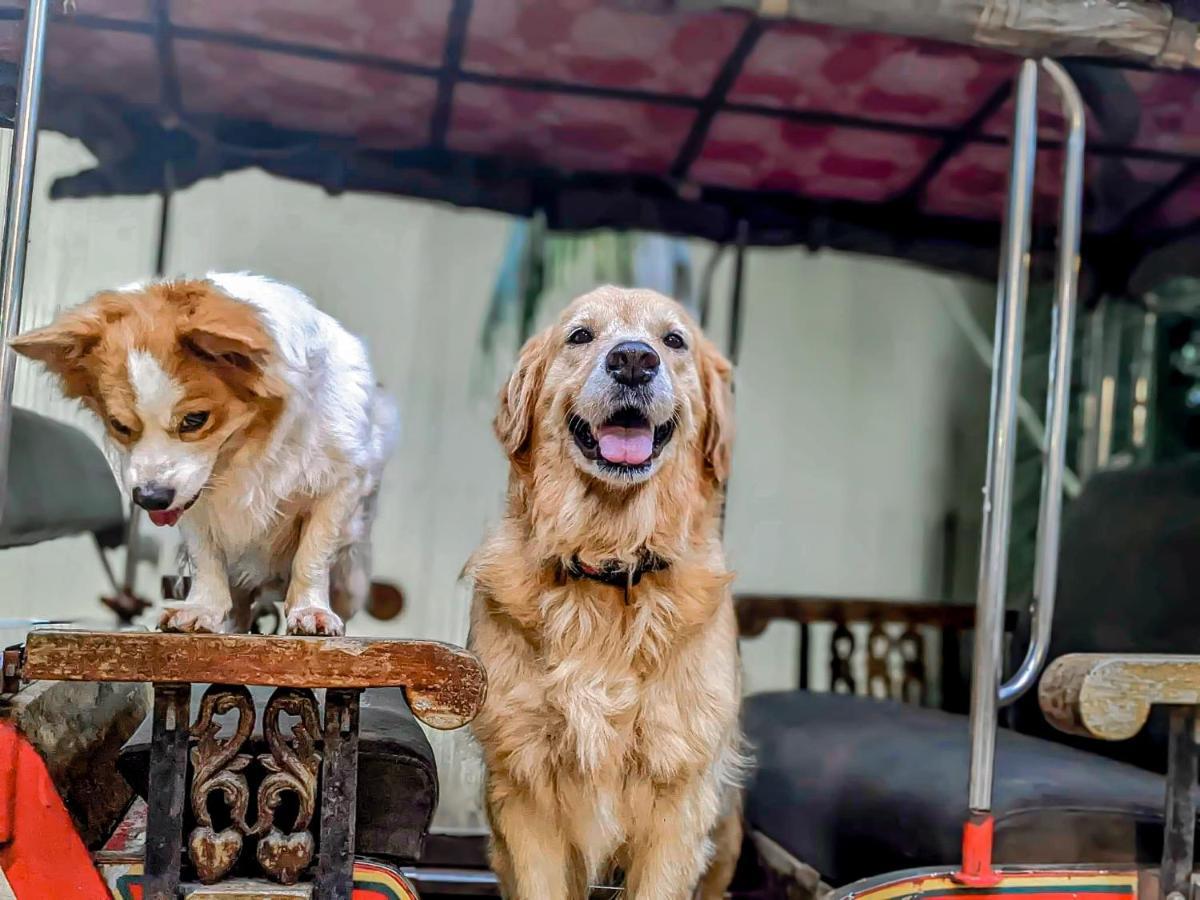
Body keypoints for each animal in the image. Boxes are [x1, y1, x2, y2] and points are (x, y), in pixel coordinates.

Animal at [9, 273, 393, 633]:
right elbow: (205, 557)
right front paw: (203, 608)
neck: (246, 449)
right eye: (118, 425)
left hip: (351, 579)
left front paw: (309, 609)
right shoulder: (192, 501)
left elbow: (312, 554)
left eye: (195, 420)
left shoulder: (339, 484)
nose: (149, 499)